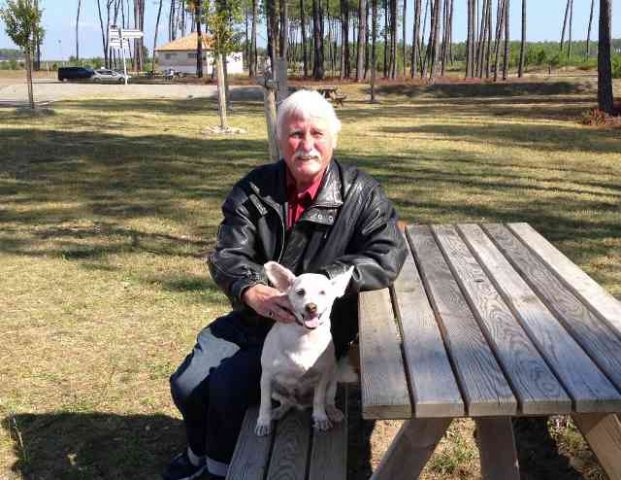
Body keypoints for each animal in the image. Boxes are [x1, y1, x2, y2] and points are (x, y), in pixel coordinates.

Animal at [254, 260, 354, 436]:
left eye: (323, 292)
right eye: (300, 292)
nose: (311, 307)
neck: (304, 336)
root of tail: (300, 403)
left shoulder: (322, 377)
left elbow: (319, 400)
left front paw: (320, 418)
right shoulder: (266, 378)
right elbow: (264, 404)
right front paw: (263, 422)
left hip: (332, 381)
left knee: (327, 401)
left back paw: (332, 412)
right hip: (275, 390)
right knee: (286, 402)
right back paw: (278, 411)